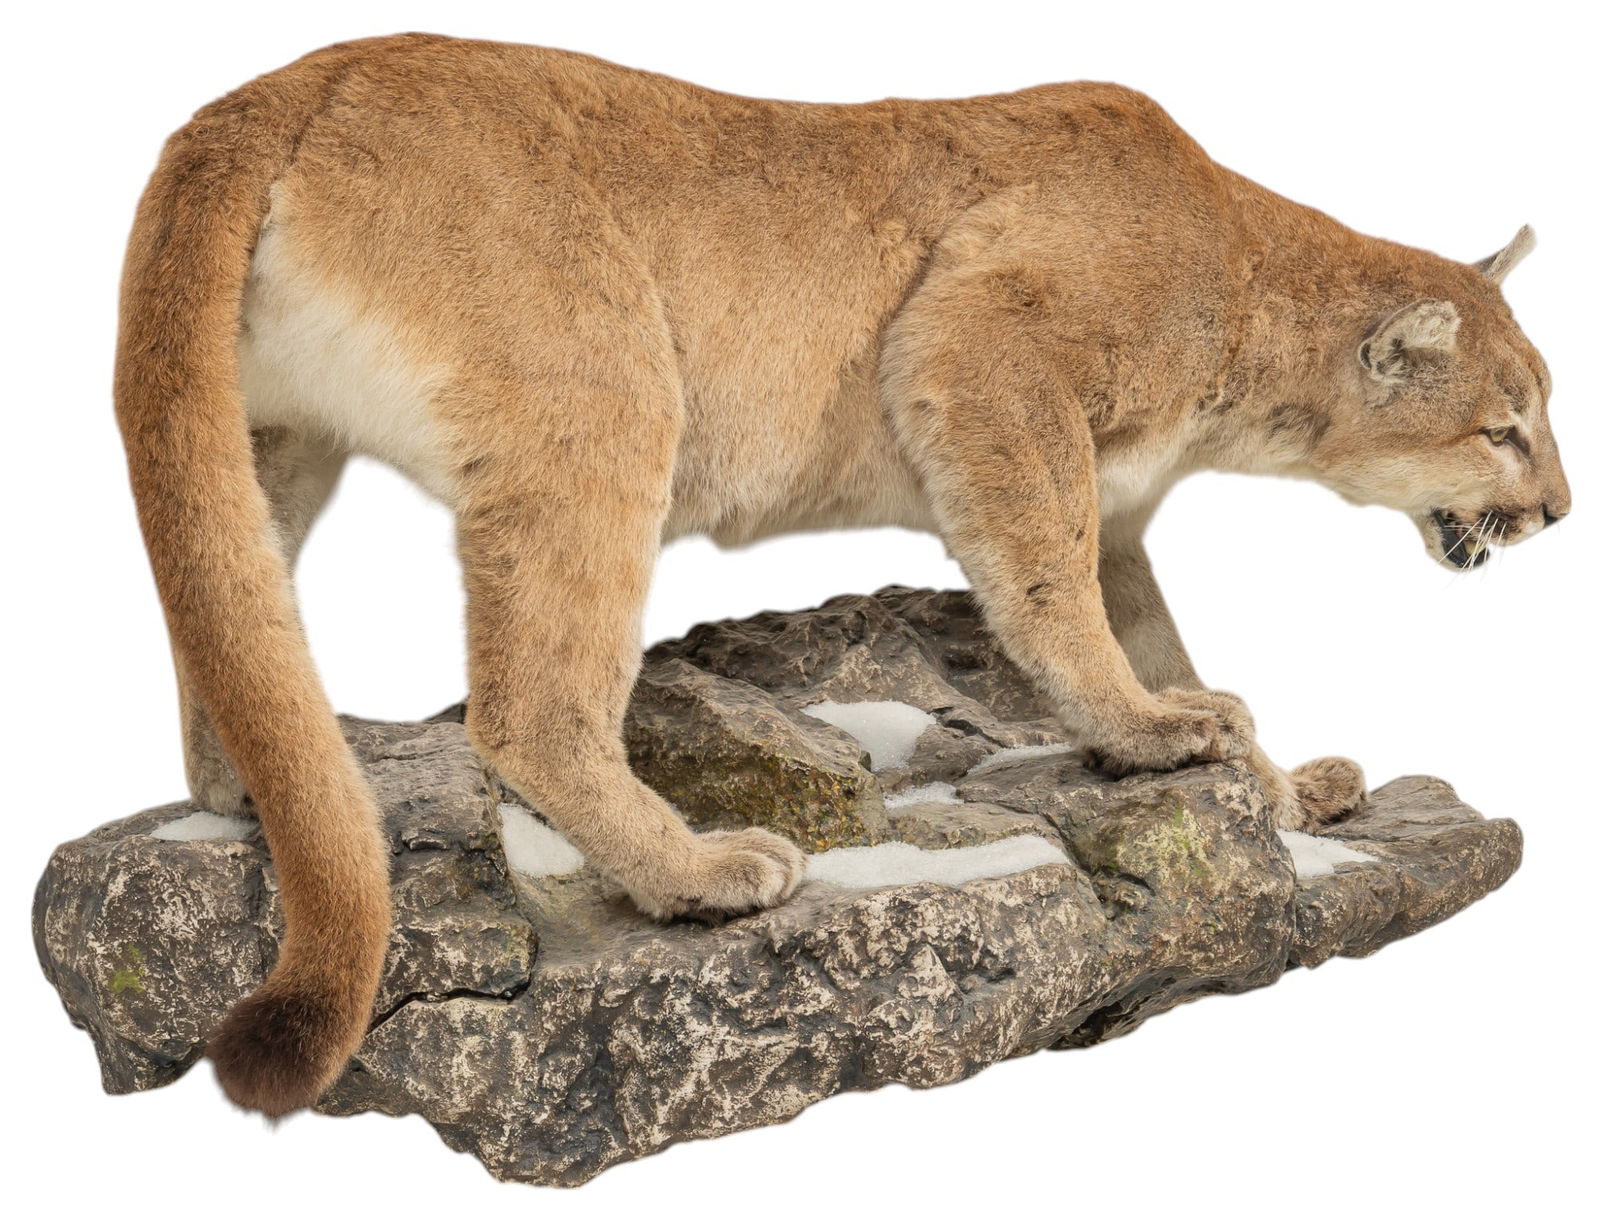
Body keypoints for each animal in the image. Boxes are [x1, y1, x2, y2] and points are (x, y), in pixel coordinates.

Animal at [111, 34, 1569, 1116]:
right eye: (1504, 426)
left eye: (1538, 410)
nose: (1559, 510)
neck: (1248, 292)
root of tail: (283, 84)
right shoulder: (982, 345)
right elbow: (1056, 593)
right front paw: (1159, 734)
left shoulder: (1117, 503)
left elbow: (1148, 627)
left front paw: (1275, 781)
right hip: (605, 393)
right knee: (525, 707)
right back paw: (697, 871)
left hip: (260, 434)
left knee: (226, 618)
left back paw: (269, 787)